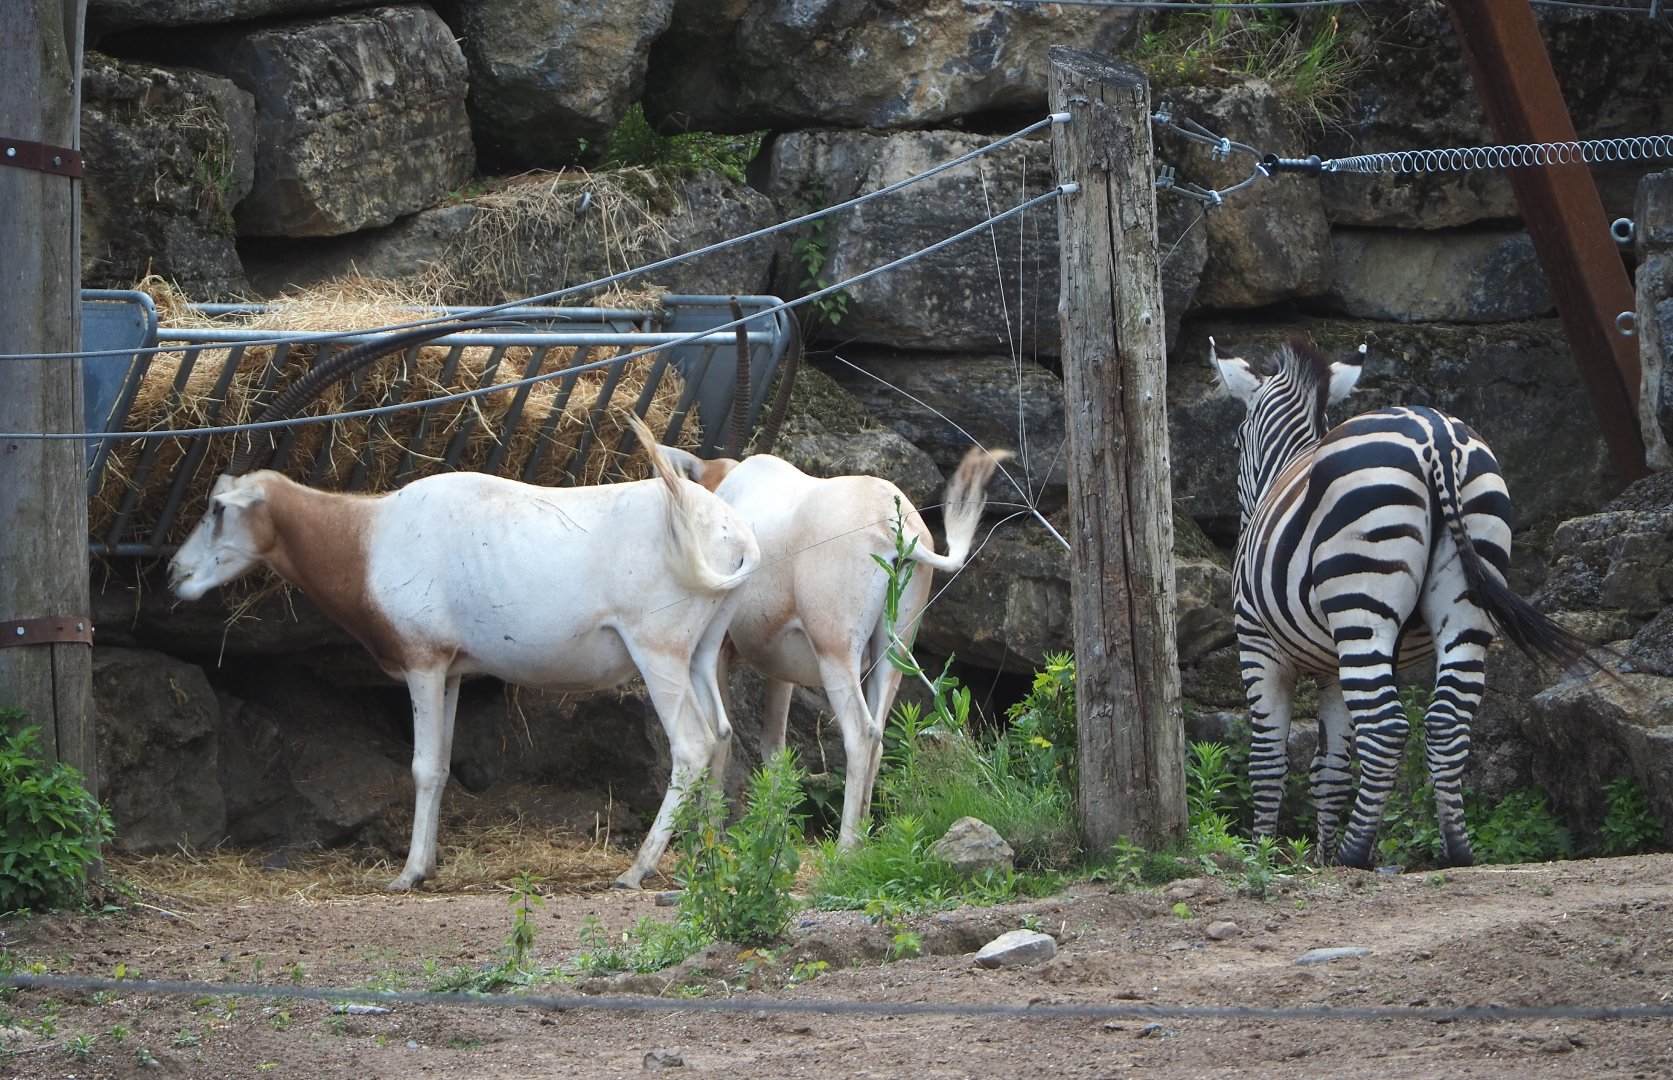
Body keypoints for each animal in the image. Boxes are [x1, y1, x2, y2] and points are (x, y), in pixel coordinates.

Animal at [1210, 336, 1594, 869]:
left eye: (1237, 441)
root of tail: (1438, 436)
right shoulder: (1331, 667)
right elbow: (1330, 768)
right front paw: (1319, 855)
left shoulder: (1256, 643)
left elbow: (1269, 760)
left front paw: (1261, 855)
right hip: (1466, 596)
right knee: (1446, 720)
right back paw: (1455, 849)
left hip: (1362, 604)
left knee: (1387, 727)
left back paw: (1354, 854)